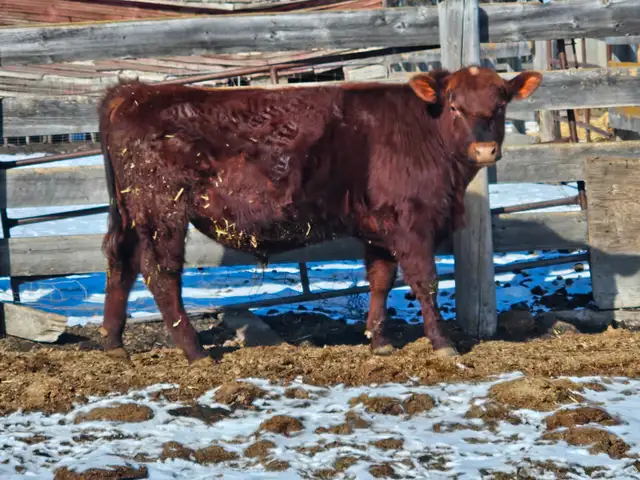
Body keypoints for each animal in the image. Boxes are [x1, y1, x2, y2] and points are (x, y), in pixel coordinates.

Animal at [98, 66, 542, 366]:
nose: (485, 150)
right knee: (161, 274)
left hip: (130, 214)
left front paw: (379, 341)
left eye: (501, 103)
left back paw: (114, 344)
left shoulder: (380, 227)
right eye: (454, 105)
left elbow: (381, 280)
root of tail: (134, 93)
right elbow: (425, 282)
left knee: (121, 263)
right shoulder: (411, 223)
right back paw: (195, 351)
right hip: (162, 212)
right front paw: (443, 344)